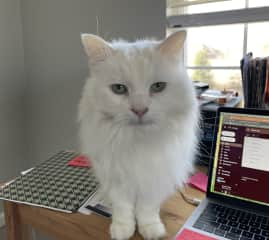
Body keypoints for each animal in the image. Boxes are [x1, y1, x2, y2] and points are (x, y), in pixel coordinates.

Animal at [78, 31, 198, 239]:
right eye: (118, 89)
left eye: (158, 87)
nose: (139, 110)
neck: (138, 140)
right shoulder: (116, 178)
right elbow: (123, 208)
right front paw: (122, 229)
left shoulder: (153, 178)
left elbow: (147, 209)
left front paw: (150, 229)